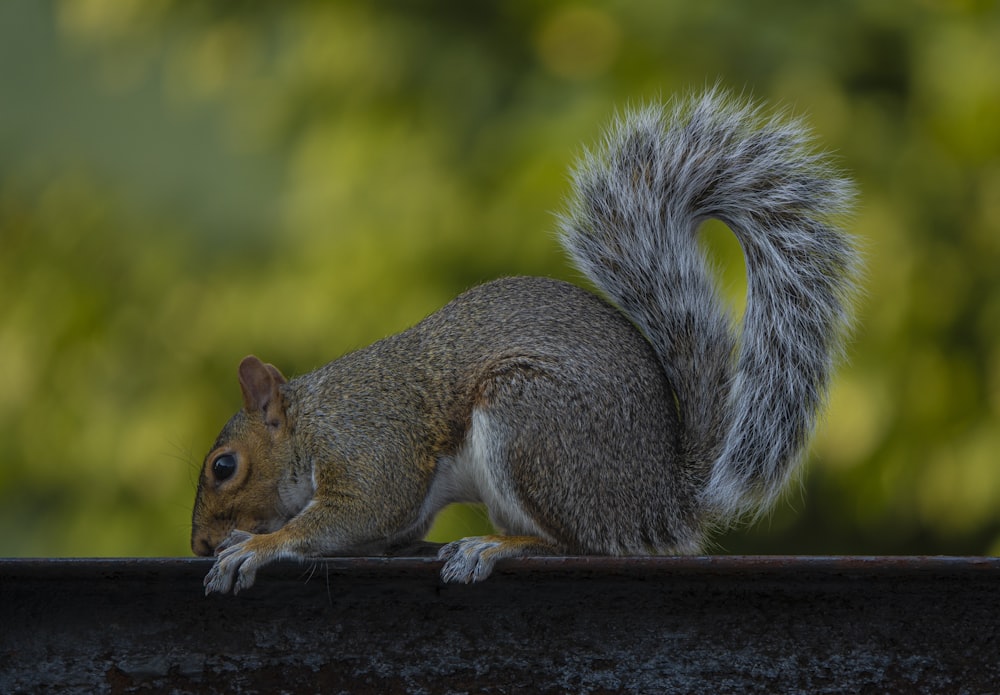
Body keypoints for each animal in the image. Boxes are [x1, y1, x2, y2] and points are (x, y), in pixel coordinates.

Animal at [193, 89, 860, 596]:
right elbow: (389, 533)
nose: (199, 544)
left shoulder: (368, 446)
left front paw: (257, 545)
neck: (311, 421)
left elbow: (358, 511)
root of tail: (659, 500)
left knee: (572, 543)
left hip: (529, 420)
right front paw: (242, 540)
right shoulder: (401, 506)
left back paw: (494, 545)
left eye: (224, 467)